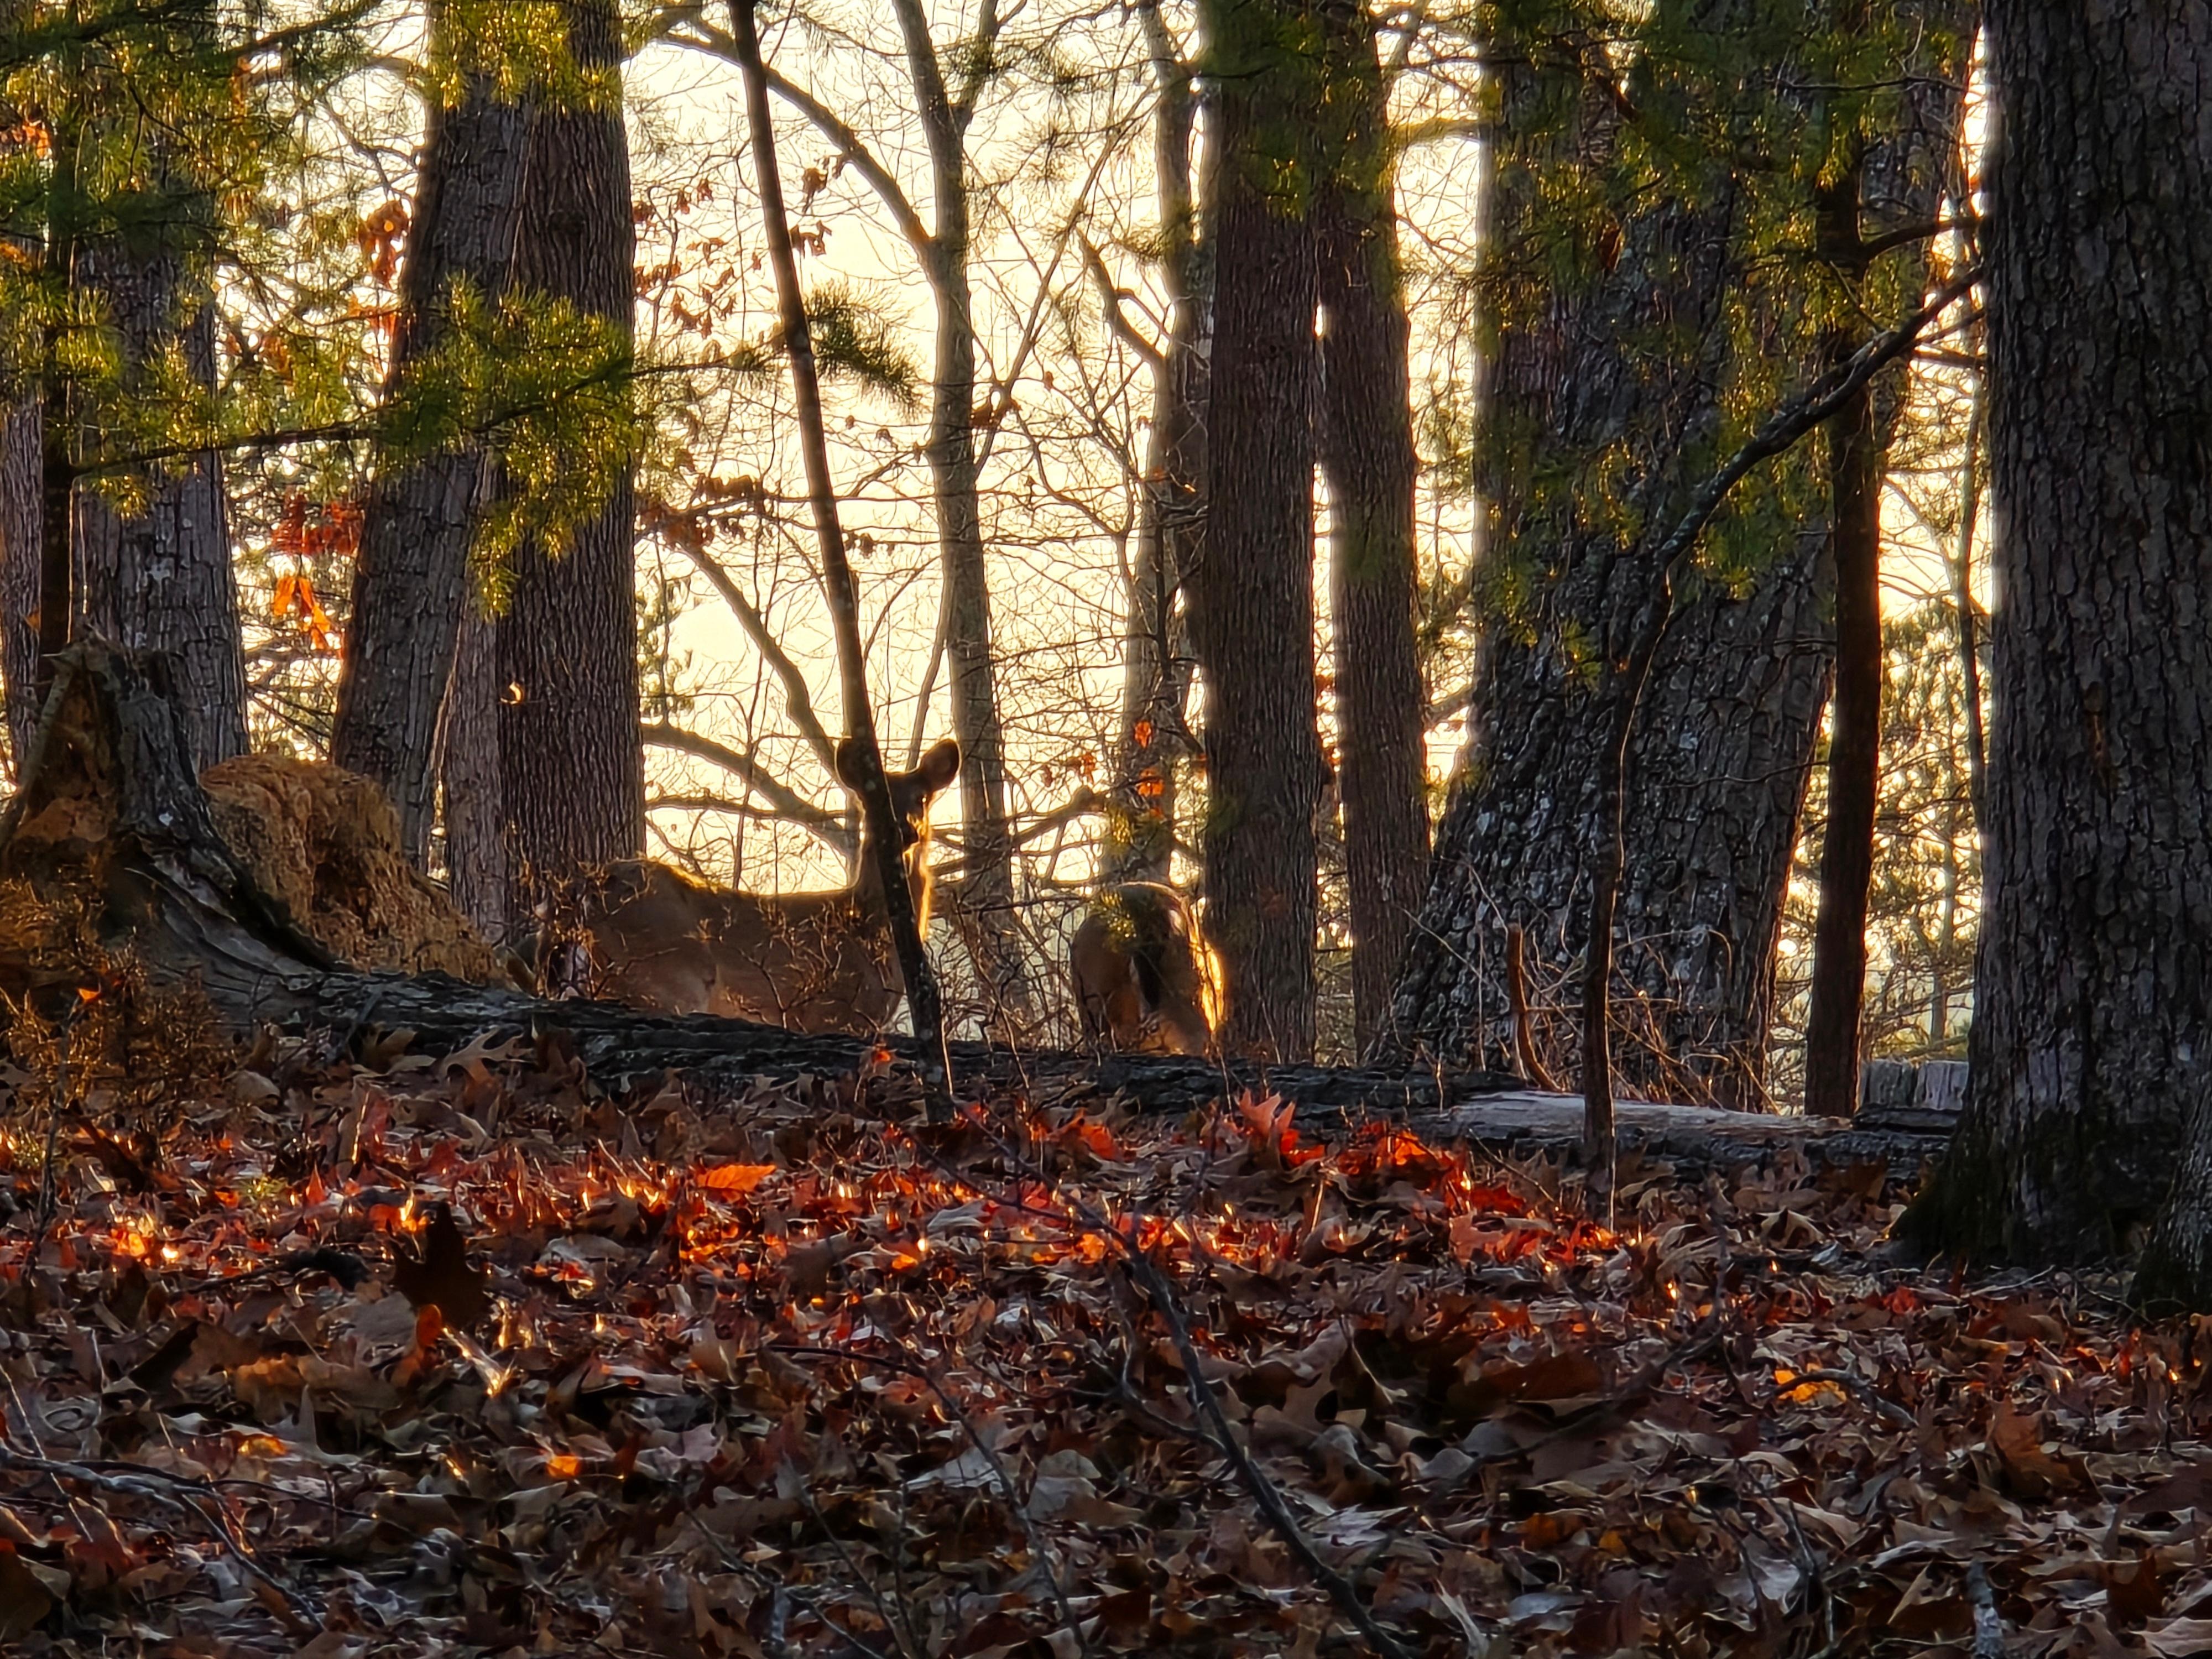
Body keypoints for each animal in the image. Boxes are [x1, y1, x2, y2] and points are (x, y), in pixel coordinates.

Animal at [556, 738, 960, 1034]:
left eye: (922, 798)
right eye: (870, 801)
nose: (905, 829)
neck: (866, 928)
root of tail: (589, 887)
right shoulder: (833, 1011)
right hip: (662, 974)